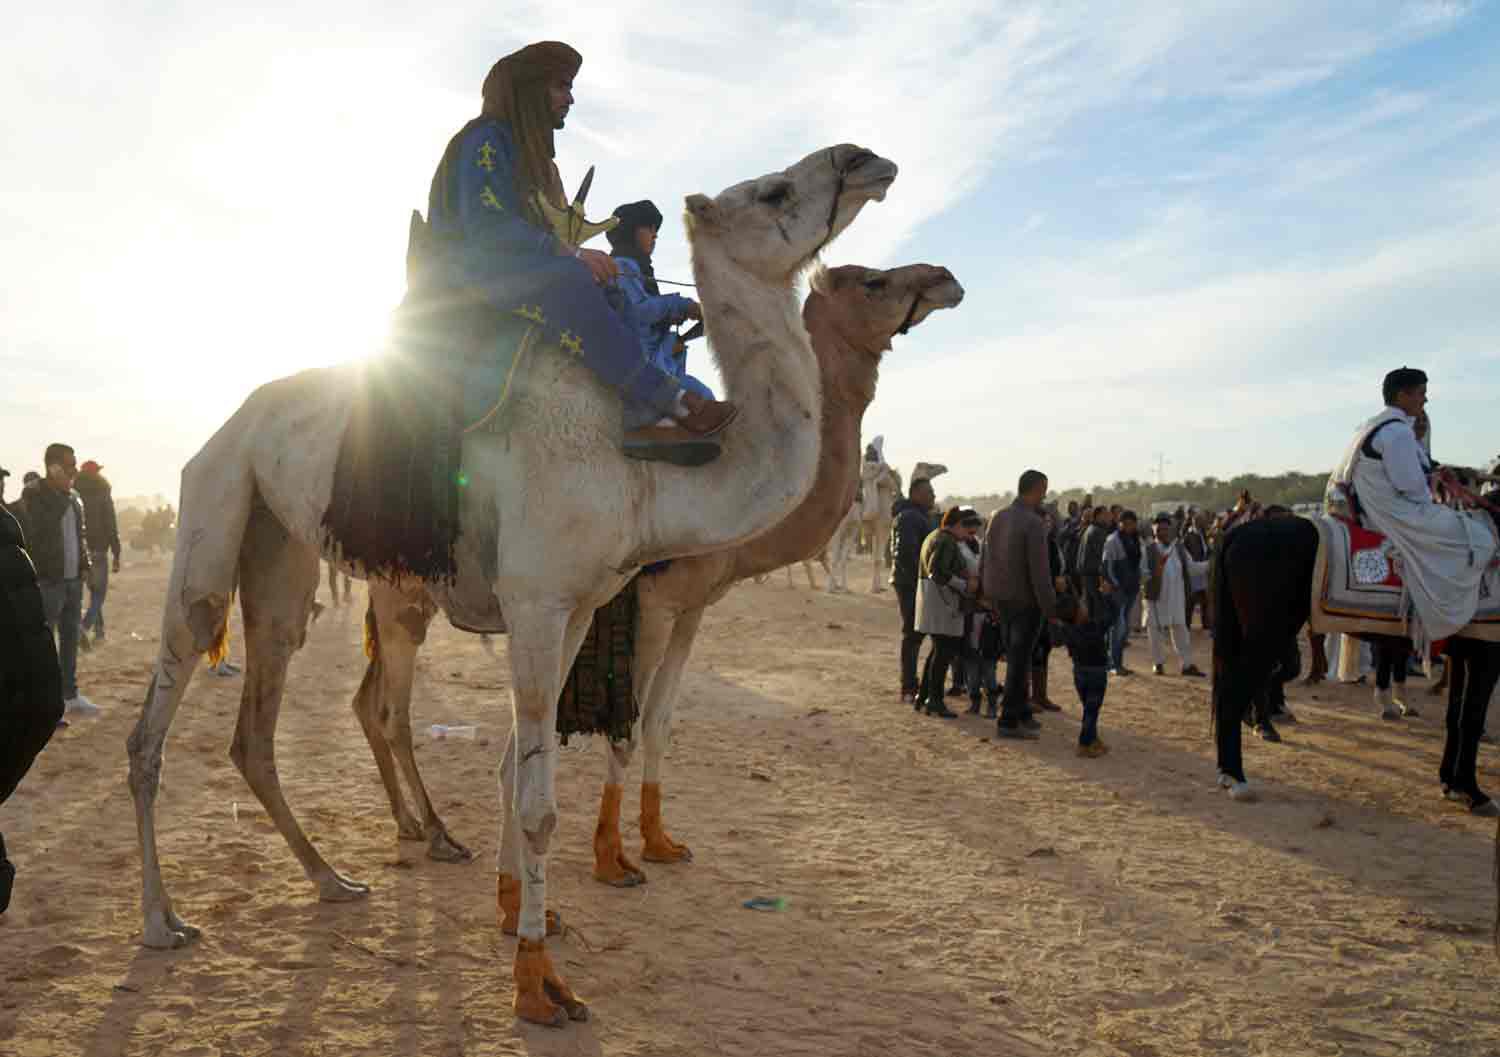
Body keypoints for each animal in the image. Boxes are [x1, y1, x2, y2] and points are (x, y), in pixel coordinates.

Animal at [126, 140, 888, 1019]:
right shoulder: (536, 599)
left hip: (281, 545)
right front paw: (538, 982)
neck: (645, 472)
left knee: (260, 718)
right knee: (169, 688)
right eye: (772, 189)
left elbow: (514, 765)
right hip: (216, 497)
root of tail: (229, 423)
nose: (865, 160)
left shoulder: (582, 605)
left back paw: (333, 878)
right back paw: (162, 920)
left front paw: (523, 910)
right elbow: (536, 803)